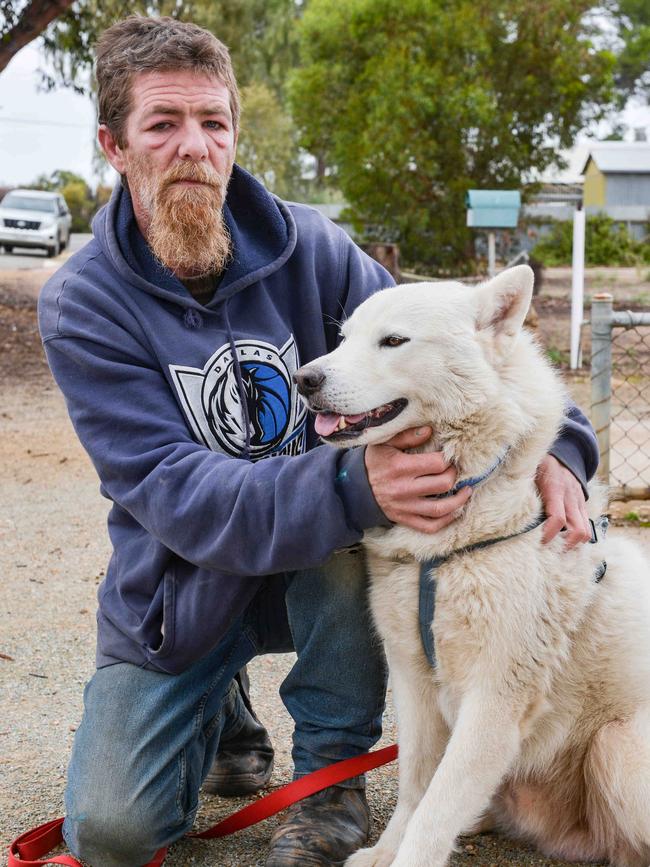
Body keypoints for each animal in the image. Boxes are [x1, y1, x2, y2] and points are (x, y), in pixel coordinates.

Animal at [296, 268, 648, 867]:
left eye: (393, 341)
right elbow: (417, 787)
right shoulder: (413, 679)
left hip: (616, 746)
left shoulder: (495, 700)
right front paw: (383, 852)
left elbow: (436, 809)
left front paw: (408, 857)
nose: (304, 378)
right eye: (343, 338)